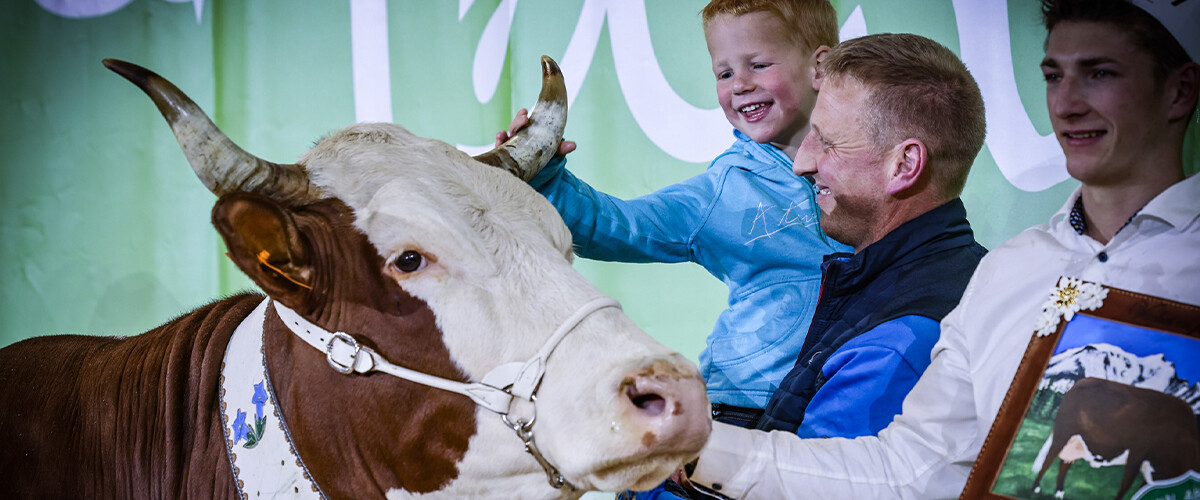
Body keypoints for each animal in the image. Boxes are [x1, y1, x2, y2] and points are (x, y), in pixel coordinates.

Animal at [1032, 376, 1200, 496]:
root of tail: (1082, 381)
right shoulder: (1137, 454)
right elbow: (1125, 487)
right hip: (1064, 432)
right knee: (1050, 458)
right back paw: (1036, 488)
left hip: (1077, 441)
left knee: (1065, 462)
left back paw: (1059, 493)